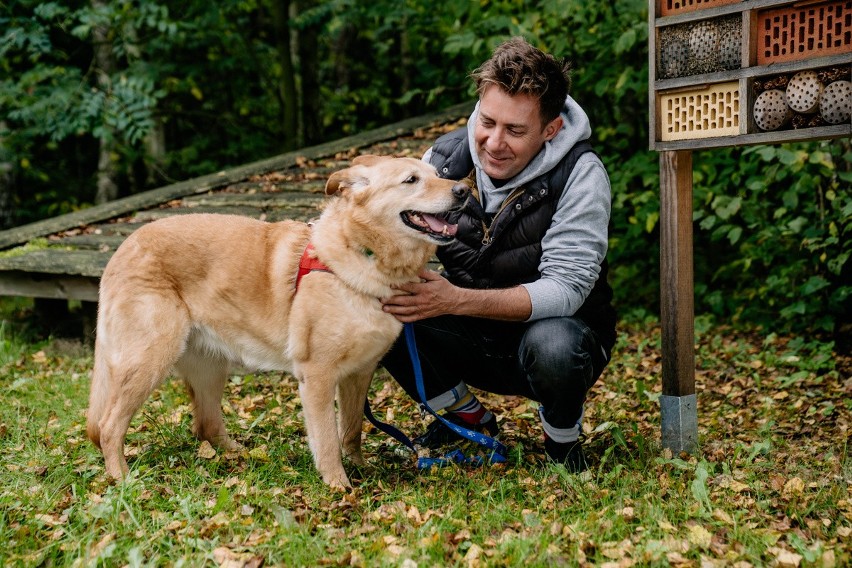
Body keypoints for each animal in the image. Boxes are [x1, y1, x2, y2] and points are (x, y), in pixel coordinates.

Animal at [88, 155, 466, 488]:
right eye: (411, 180)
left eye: (438, 173)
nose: (464, 190)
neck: (364, 258)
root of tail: (123, 248)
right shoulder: (317, 376)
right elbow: (327, 439)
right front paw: (338, 485)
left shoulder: (360, 373)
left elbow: (352, 430)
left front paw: (360, 467)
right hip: (149, 360)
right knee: (108, 426)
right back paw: (122, 478)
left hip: (210, 367)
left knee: (206, 425)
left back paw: (243, 456)